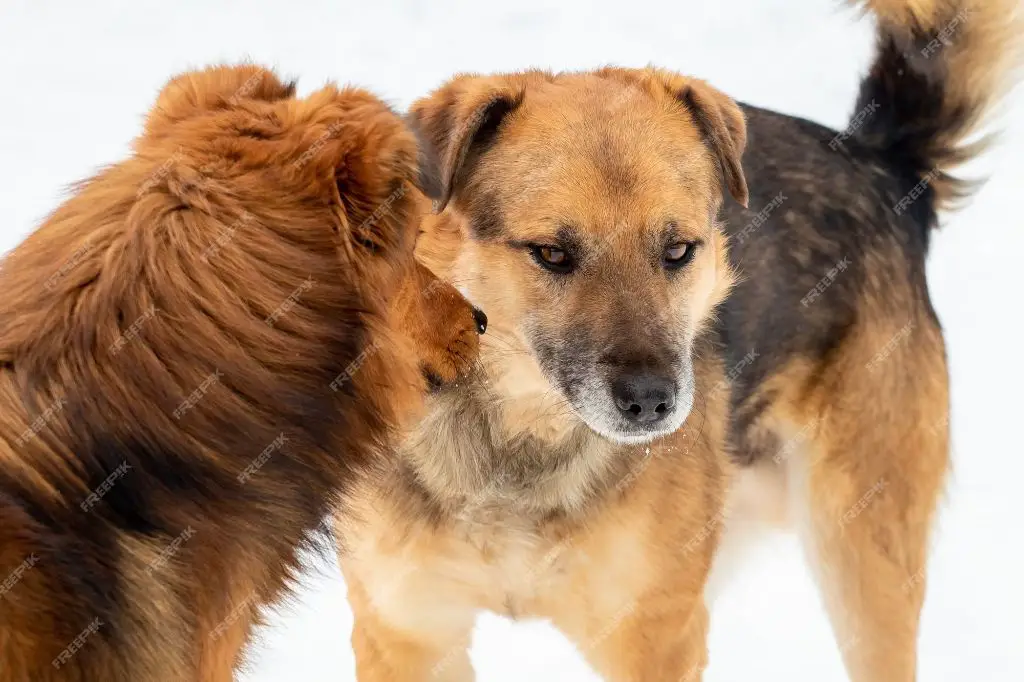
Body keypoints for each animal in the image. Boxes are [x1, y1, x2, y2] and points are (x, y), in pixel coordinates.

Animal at [337, 1, 1024, 679]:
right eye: (552, 253)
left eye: (677, 250)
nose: (651, 403)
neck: (519, 446)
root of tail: (876, 162)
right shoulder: (406, 633)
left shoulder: (657, 634)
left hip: (862, 555)